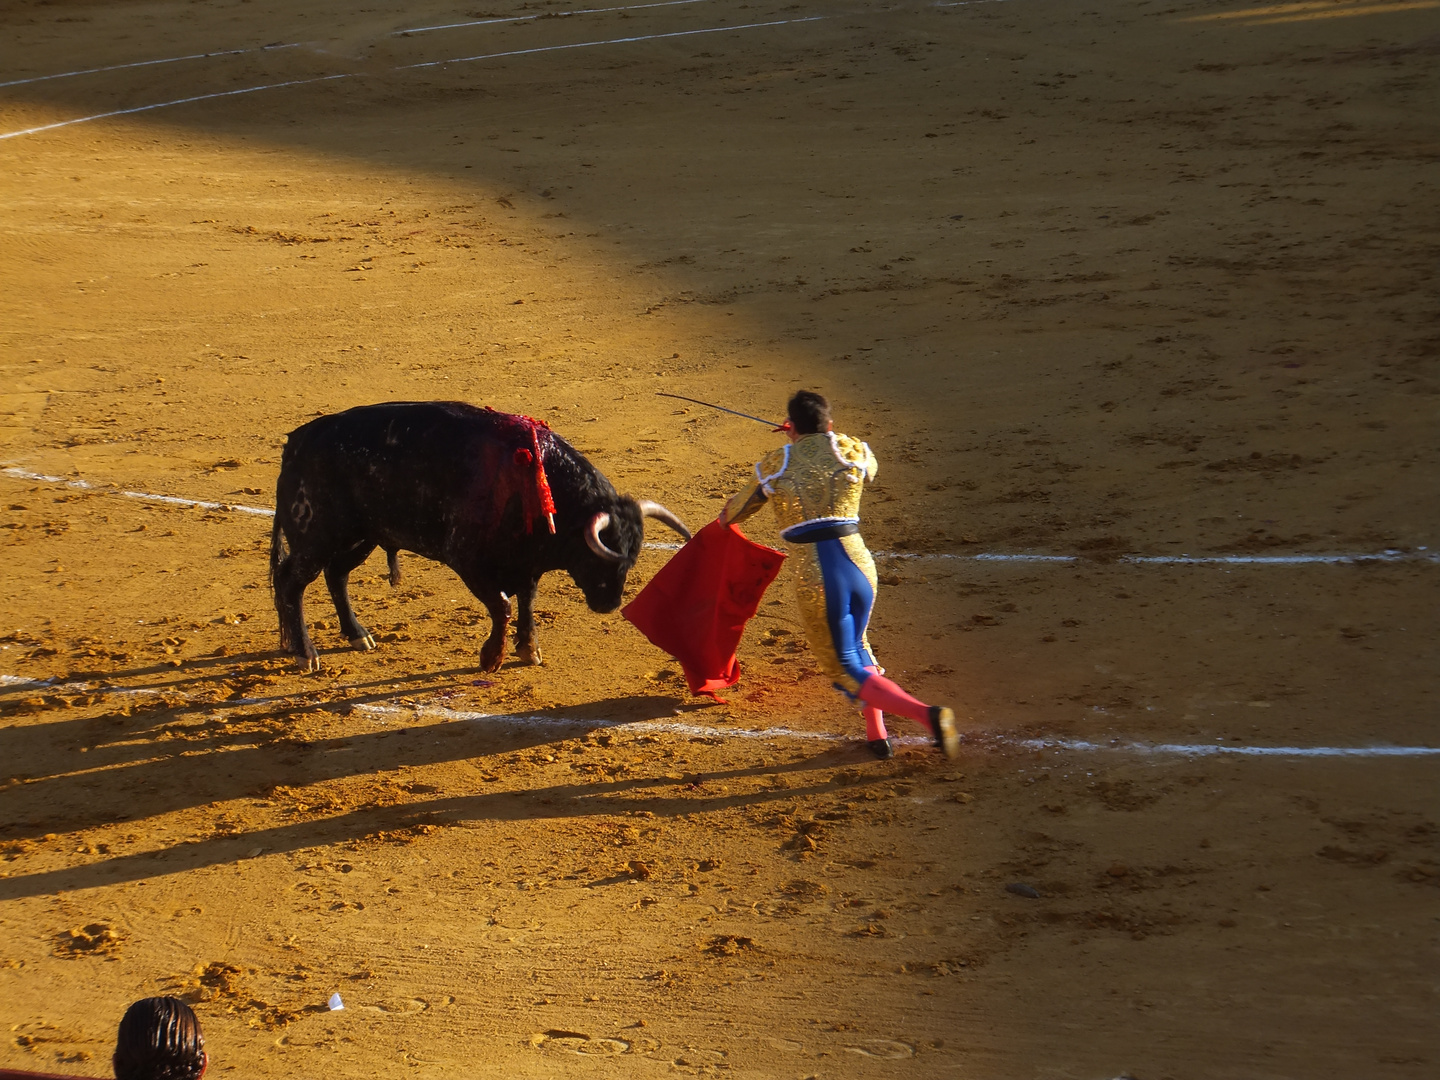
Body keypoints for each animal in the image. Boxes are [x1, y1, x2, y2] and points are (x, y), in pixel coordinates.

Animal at [276, 403, 696, 673]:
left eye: (632, 557)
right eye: (600, 555)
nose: (609, 604)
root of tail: (298, 440)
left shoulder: (526, 564)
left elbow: (526, 601)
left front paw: (529, 650)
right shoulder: (467, 560)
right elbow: (503, 606)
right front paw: (491, 658)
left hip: (361, 536)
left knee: (336, 575)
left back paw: (357, 635)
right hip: (316, 536)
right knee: (291, 581)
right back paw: (304, 653)